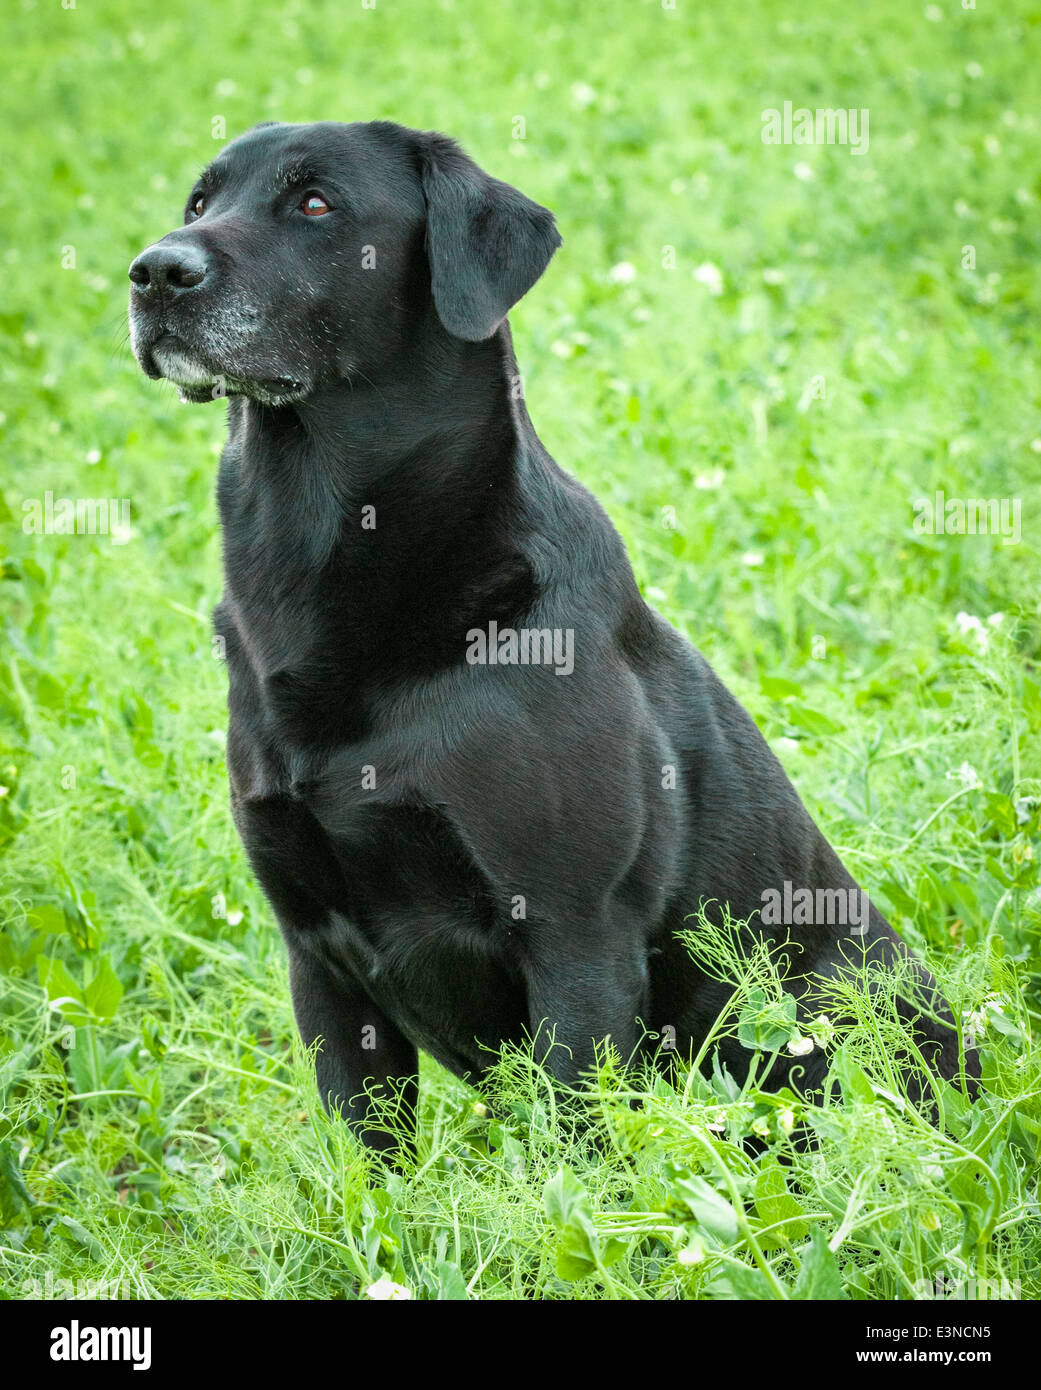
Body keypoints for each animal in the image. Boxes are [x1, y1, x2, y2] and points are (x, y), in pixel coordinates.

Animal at [127, 125, 972, 1156]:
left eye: (315, 204)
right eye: (199, 202)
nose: (154, 271)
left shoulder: (577, 937)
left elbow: (575, 1150)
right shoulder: (317, 957)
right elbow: (365, 1159)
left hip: (832, 1002)